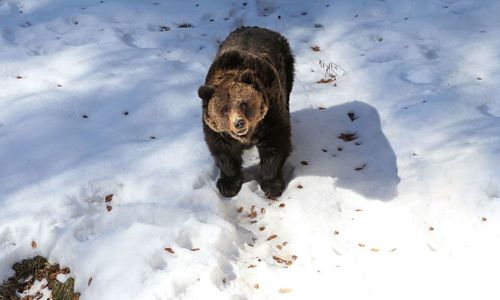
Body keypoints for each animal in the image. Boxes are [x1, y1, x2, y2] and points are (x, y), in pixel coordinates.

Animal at [198, 27, 294, 198]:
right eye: (224, 110)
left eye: (243, 104)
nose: (239, 123)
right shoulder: (217, 132)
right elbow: (224, 153)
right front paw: (228, 185)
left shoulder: (270, 116)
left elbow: (275, 146)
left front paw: (271, 185)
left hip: (287, 69)